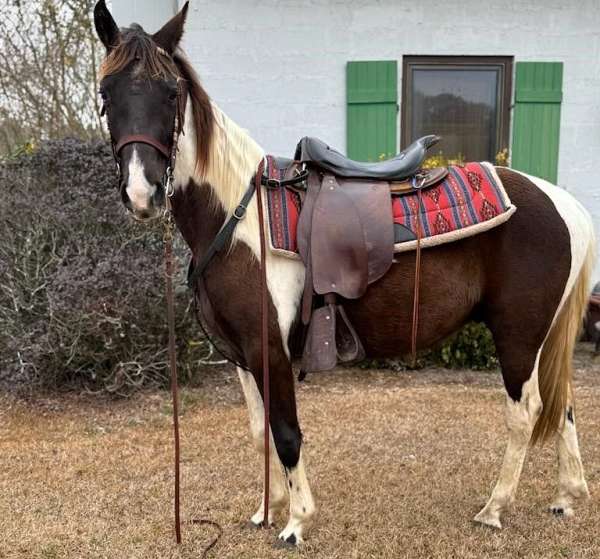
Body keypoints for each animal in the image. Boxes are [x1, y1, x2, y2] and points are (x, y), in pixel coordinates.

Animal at [94, 1, 596, 548]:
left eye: (171, 92)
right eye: (105, 93)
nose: (141, 192)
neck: (239, 219)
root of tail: (562, 202)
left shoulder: (270, 351)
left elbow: (287, 434)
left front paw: (296, 521)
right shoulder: (243, 357)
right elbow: (260, 431)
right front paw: (266, 510)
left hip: (518, 336)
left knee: (526, 412)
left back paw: (494, 508)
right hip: (542, 338)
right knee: (563, 403)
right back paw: (567, 497)